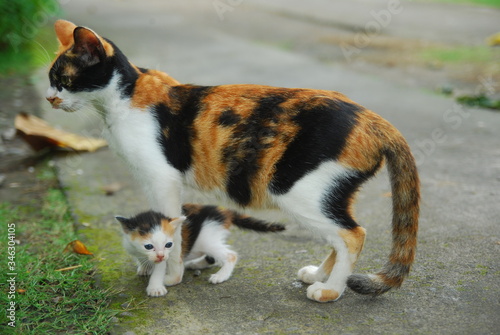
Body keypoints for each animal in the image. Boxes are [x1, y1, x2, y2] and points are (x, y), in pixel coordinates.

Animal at [114, 205, 284, 296]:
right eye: (148, 246)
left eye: (168, 244)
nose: (161, 255)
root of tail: (223, 210)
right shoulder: (132, 247)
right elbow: (141, 259)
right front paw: (144, 267)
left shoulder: (169, 255)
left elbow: (160, 269)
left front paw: (156, 287)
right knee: (212, 257)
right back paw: (195, 264)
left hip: (208, 237)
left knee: (230, 255)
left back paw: (220, 275)